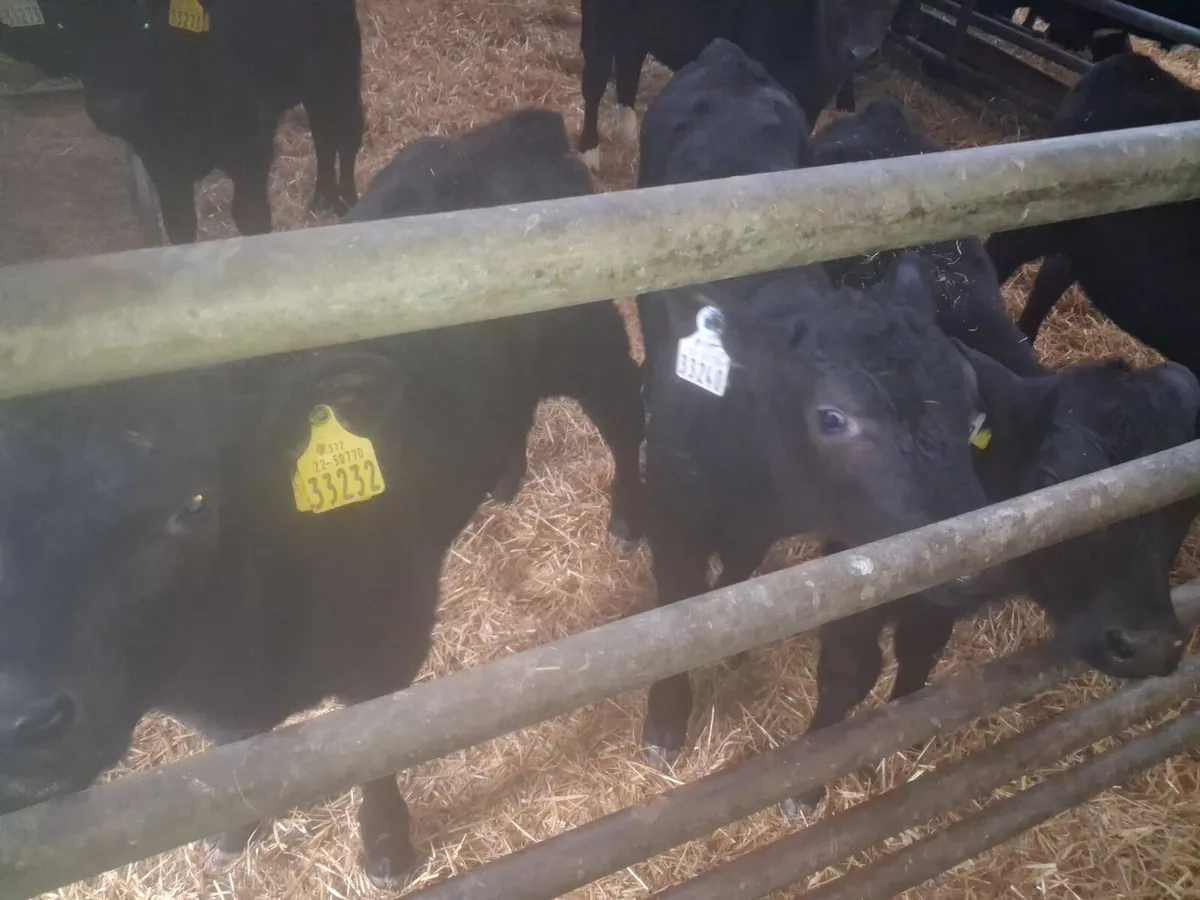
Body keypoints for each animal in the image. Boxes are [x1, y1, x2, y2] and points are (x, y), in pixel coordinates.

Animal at [0, 0, 364, 244]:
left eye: (145, 26)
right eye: (66, 29)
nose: (110, 107)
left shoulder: (252, 145)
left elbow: (250, 218)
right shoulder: (160, 160)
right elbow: (180, 225)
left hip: (338, 50)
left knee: (346, 130)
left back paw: (346, 200)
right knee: (323, 130)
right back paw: (322, 198)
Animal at [0, 107, 643, 889]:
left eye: (194, 503)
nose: (24, 724)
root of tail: (515, 128)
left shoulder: (390, 639)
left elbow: (371, 755)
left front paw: (387, 847)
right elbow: (233, 759)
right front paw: (232, 831)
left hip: (589, 341)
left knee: (626, 412)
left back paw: (628, 515)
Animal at [576, 0, 903, 169]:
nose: (862, 52)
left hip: (636, 28)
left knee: (628, 66)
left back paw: (627, 130)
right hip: (601, 22)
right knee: (594, 81)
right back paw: (589, 151)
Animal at [632, 39, 995, 768]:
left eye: (972, 409)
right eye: (833, 418)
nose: (968, 564)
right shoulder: (674, 515)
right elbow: (677, 615)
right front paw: (665, 722)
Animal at [782, 98, 1199, 816]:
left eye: (1183, 504)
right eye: (1056, 481)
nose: (1147, 647)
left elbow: (921, 653)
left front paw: (905, 728)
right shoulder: (853, 565)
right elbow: (847, 671)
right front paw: (808, 784)